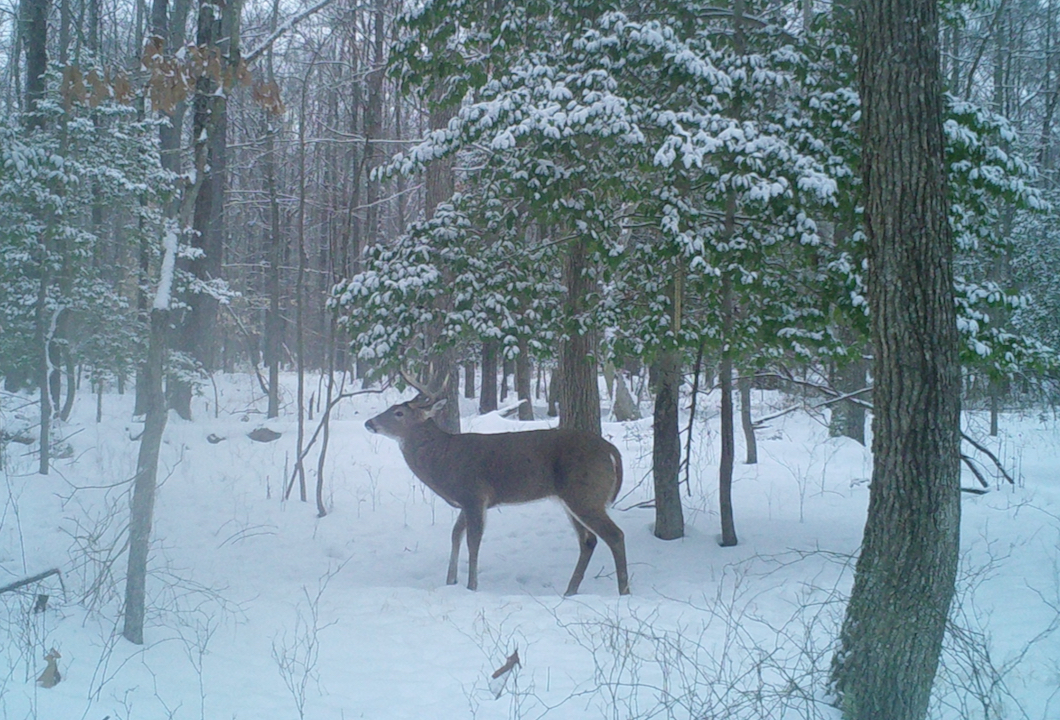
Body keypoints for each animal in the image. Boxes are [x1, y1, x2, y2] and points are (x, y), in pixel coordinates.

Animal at [365, 371, 630, 596]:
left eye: (399, 413)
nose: (369, 423)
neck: (444, 459)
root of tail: (612, 451)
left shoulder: (474, 494)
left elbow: (473, 541)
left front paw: (471, 587)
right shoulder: (466, 501)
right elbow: (455, 534)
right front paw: (450, 582)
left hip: (585, 493)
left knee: (614, 535)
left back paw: (623, 591)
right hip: (572, 499)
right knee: (588, 540)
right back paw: (570, 591)